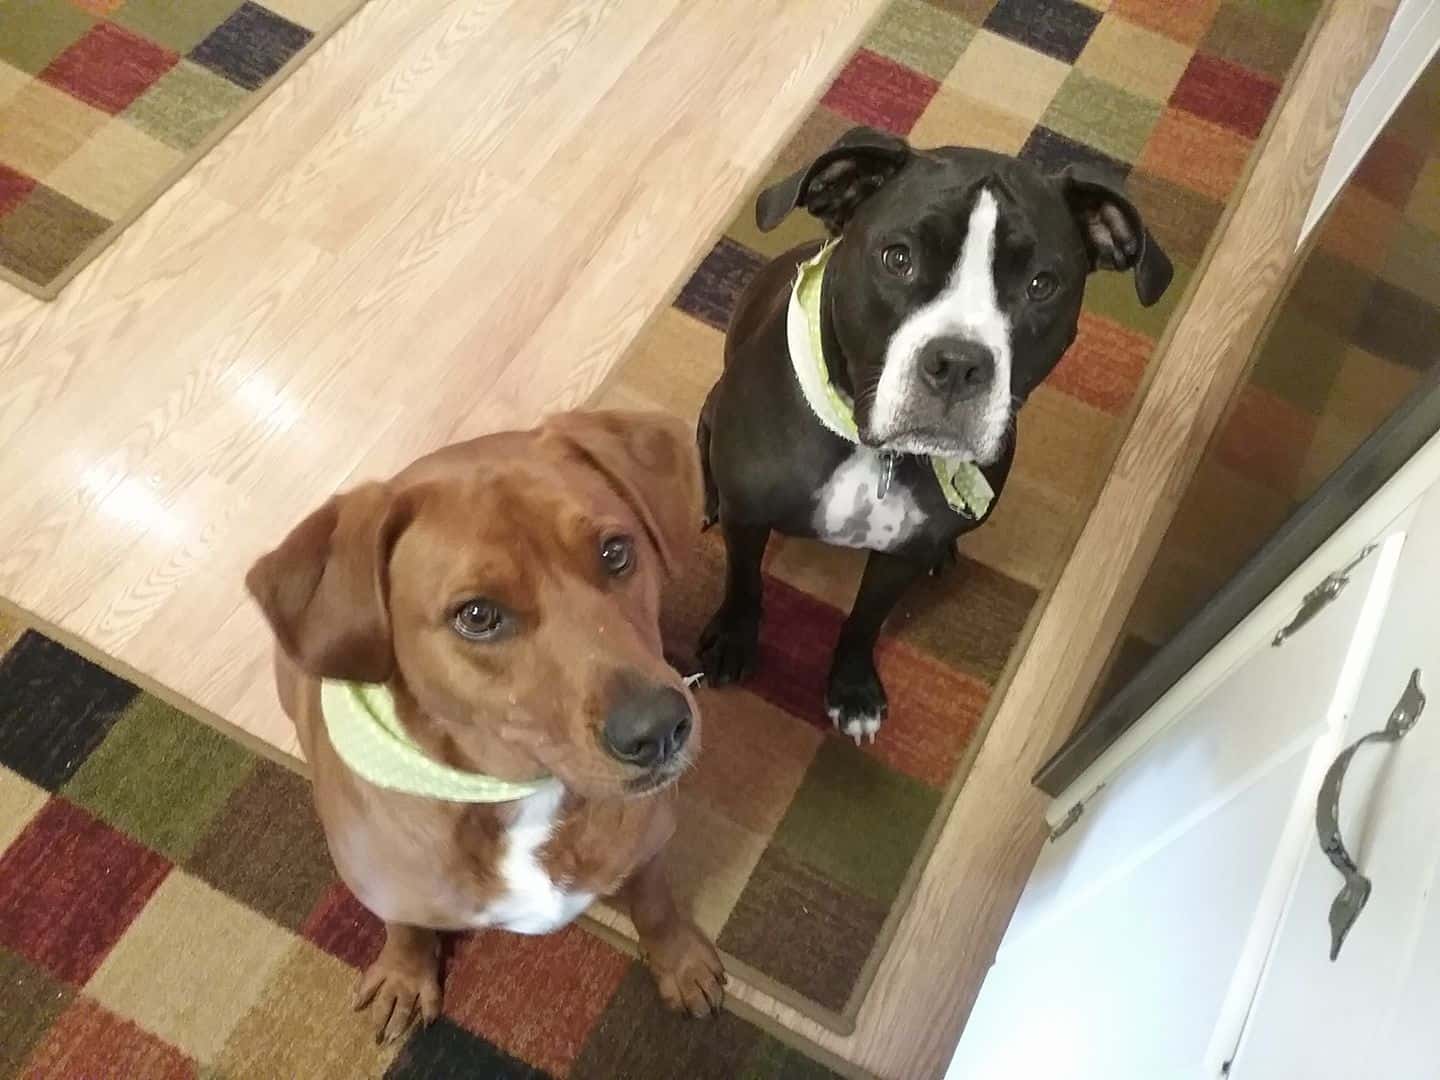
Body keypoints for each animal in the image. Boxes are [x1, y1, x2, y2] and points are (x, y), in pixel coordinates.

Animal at [247, 411, 725, 1042]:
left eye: (616, 552)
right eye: (477, 615)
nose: (662, 729)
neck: (521, 793)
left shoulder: (647, 848)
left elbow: (655, 902)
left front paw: (678, 960)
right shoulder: (390, 887)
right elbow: (405, 925)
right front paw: (404, 974)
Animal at [694, 122, 1169, 743]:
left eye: (1041, 284)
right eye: (897, 258)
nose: (959, 363)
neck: (875, 452)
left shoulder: (901, 554)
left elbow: (866, 618)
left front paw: (852, 689)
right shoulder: (749, 516)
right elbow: (744, 582)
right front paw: (731, 639)